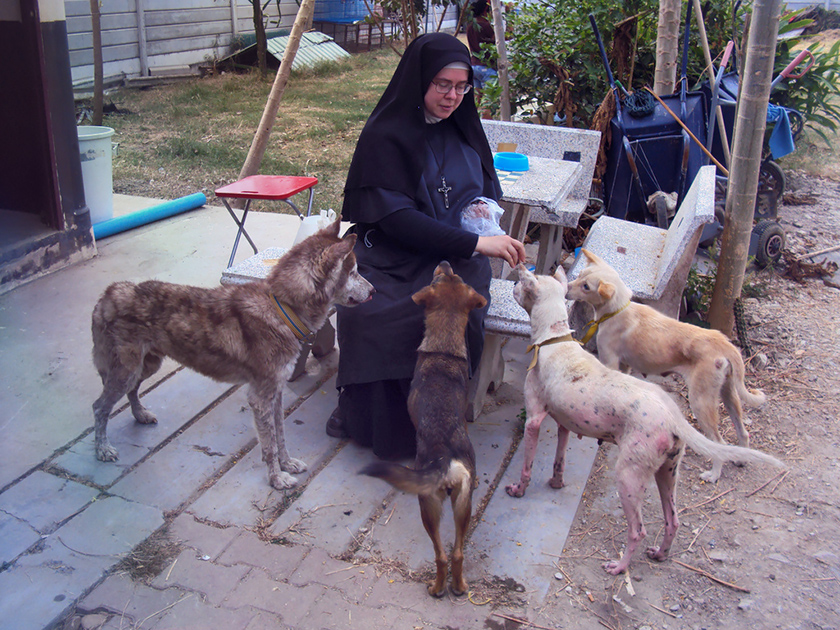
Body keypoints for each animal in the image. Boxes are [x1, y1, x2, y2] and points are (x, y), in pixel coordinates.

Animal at [89, 220, 374, 492]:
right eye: (353, 272)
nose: (373, 291)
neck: (281, 307)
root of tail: (108, 293)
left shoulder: (276, 391)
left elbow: (281, 434)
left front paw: (288, 464)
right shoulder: (260, 397)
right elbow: (269, 443)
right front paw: (276, 479)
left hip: (146, 365)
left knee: (132, 391)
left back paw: (140, 415)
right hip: (127, 369)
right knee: (100, 406)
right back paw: (102, 449)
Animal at [360, 262, 486, 596]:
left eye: (438, 277)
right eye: (450, 276)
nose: (444, 262)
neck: (443, 350)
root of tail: (447, 462)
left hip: (428, 506)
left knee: (441, 555)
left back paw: (437, 588)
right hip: (464, 506)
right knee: (457, 553)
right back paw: (459, 586)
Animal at [564, 251, 768, 484]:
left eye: (586, 286)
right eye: (580, 275)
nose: (566, 288)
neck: (618, 309)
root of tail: (724, 343)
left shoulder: (610, 361)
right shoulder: (625, 366)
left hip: (701, 401)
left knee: (719, 443)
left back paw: (714, 474)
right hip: (728, 394)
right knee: (743, 432)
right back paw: (742, 459)